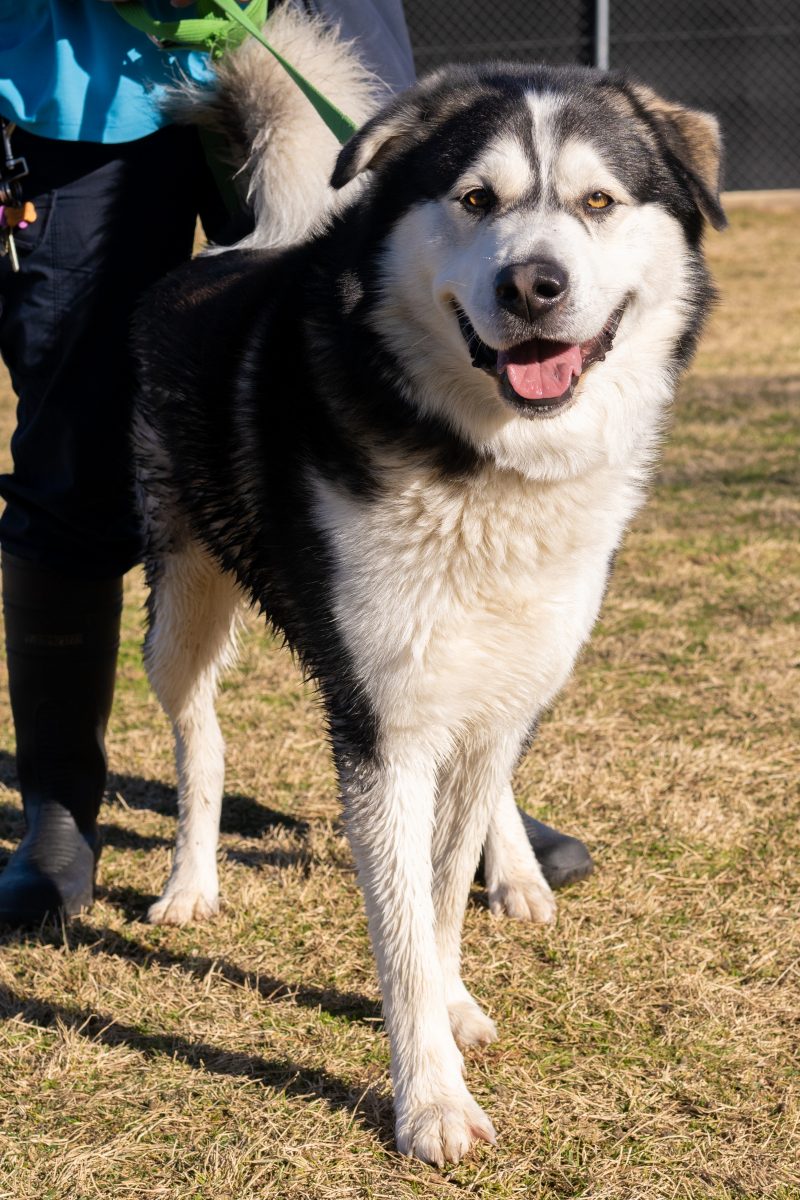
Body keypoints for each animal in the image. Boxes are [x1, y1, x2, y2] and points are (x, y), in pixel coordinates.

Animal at [131, 7, 724, 1171]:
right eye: (476, 200)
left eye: (598, 202)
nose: (532, 286)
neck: (484, 464)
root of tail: (238, 245)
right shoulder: (384, 720)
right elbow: (403, 921)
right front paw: (432, 1100)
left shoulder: (498, 691)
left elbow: (441, 894)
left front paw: (451, 1004)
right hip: (181, 604)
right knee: (199, 736)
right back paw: (190, 883)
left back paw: (518, 875)